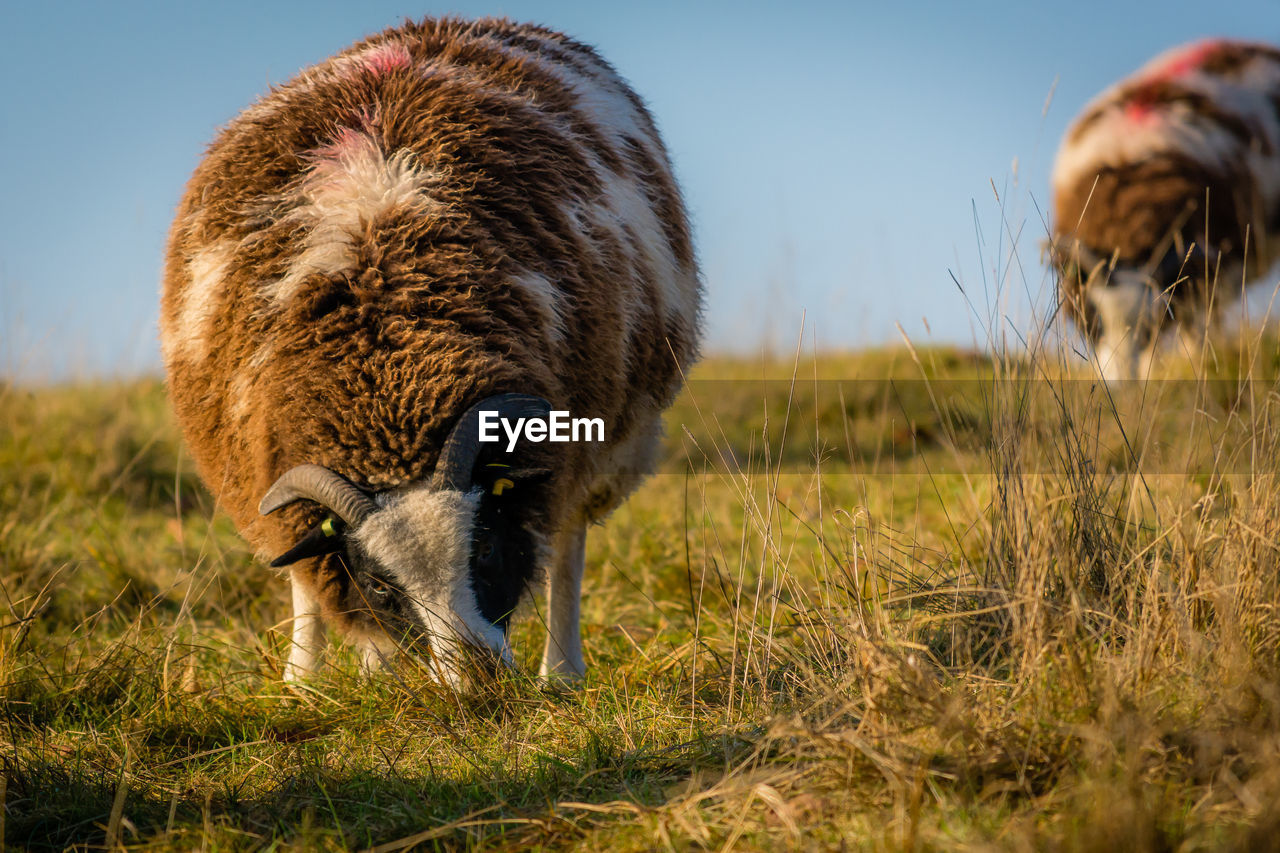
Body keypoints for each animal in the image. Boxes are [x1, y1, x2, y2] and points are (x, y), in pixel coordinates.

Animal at [160, 16, 706, 686]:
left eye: (485, 547)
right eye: (383, 584)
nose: (478, 681)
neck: (384, 372)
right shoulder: (262, 470)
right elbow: (313, 581)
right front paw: (314, 681)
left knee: (567, 543)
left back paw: (562, 670)